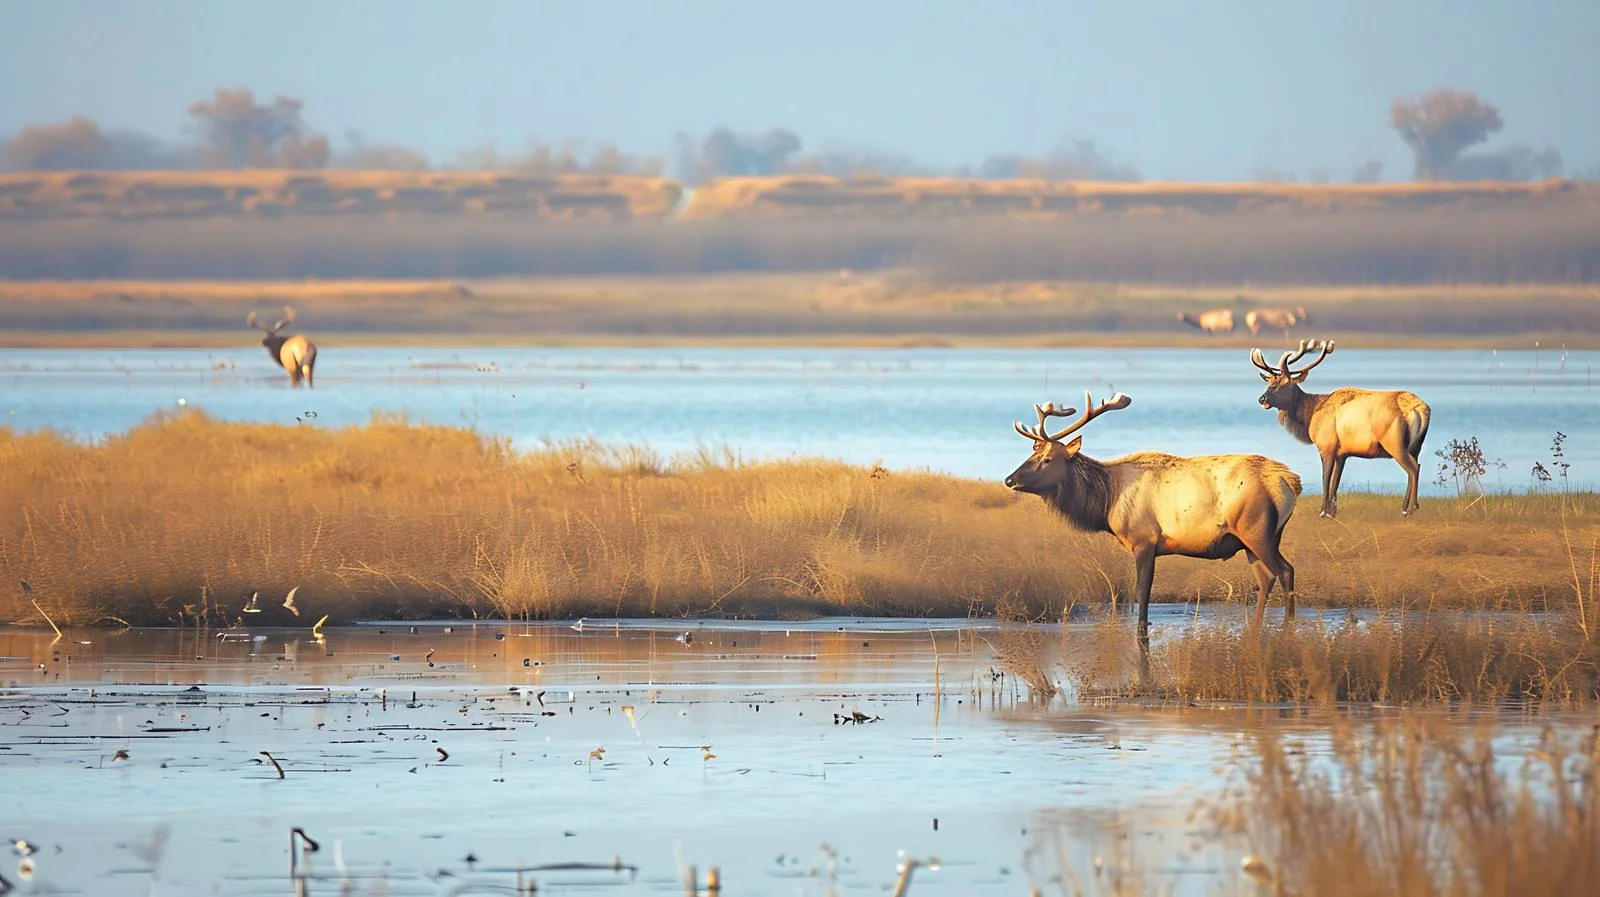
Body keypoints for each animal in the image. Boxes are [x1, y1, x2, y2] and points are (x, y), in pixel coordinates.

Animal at [1004, 390, 1303, 647]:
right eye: (1032, 453)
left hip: (1258, 531)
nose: (1009, 479)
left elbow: (1142, 592)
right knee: (1266, 579)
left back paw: (1289, 629)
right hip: (1249, 542)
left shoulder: (1144, 541)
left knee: (1286, 571)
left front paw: (1141, 634)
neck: (1107, 500)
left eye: (1048, 459)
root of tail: (1289, 482)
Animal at [1250, 338, 1431, 518]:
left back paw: (1409, 509)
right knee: (1417, 465)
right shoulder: (1342, 454)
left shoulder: (1327, 446)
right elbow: (1335, 481)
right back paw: (1409, 506)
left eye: (1283, 384)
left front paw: (1323, 512)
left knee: (1413, 469)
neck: (1310, 415)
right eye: (1269, 382)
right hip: (1417, 445)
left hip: (1394, 443)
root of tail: (1421, 409)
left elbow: (1326, 477)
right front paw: (1333, 513)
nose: (1262, 399)